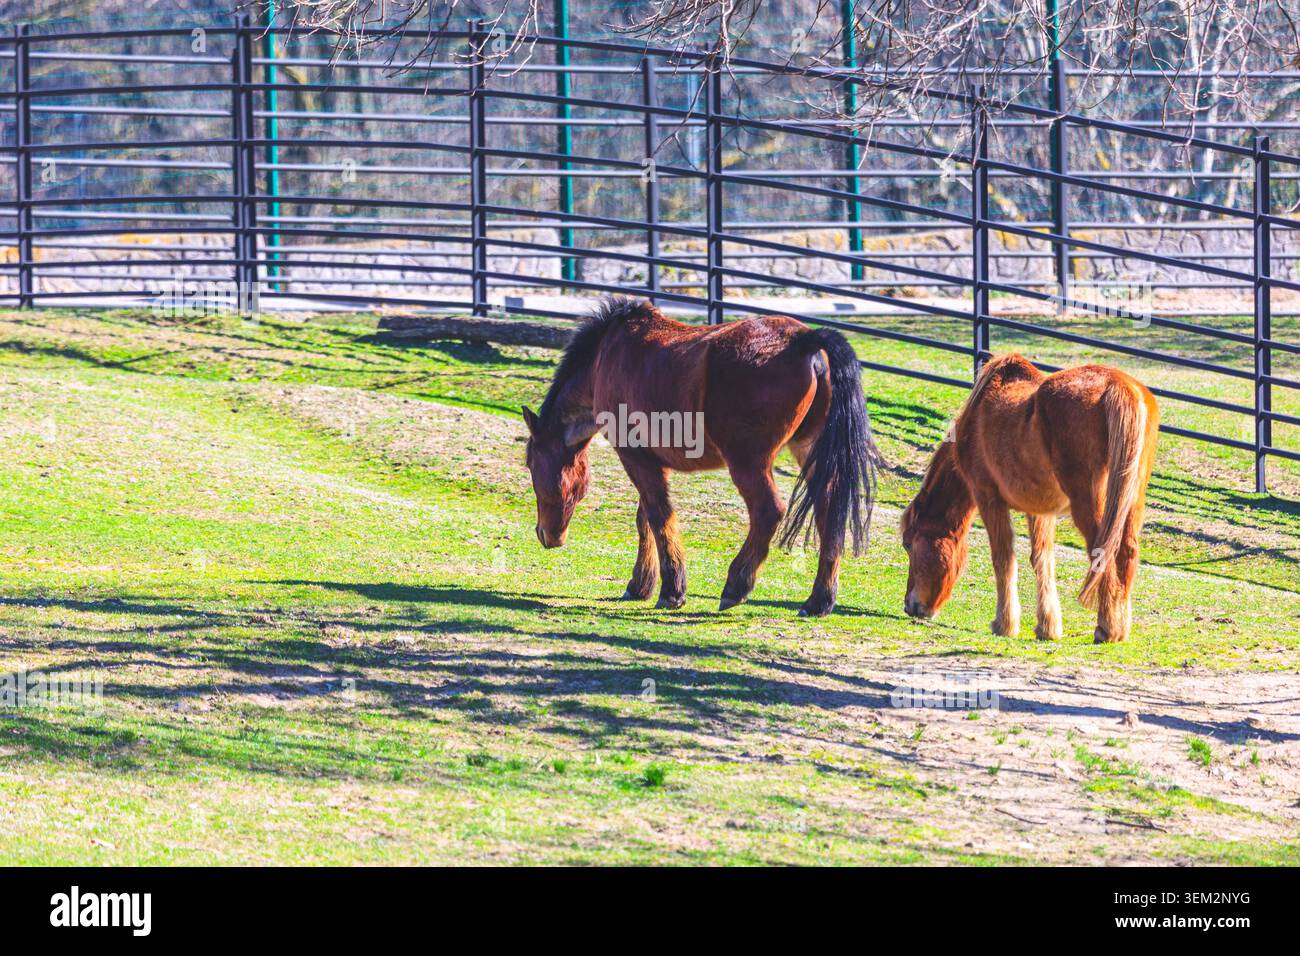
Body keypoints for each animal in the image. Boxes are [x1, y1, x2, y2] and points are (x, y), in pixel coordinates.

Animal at [523, 297, 883, 617]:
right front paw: (641, 584)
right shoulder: (653, 461)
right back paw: (819, 601)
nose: (545, 534)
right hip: (809, 452)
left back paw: (737, 586)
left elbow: (659, 516)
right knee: (829, 512)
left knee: (769, 511)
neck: (604, 358)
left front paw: (671, 591)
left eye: (530, 464)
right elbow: (646, 519)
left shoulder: (635, 457)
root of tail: (804, 340)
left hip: (749, 463)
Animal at [900, 354, 1159, 644]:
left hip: (1090, 505)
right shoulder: (1040, 510)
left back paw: (1107, 628)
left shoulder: (988, 498)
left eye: (908, 544)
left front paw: (1004, 624)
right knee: (1127, 551)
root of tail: (1119, 386)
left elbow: (1003, 558)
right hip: (1131, 502)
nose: (910, 606)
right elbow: (1042, 560)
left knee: (1104, 552)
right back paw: (1120, 627)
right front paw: (1048, 627)